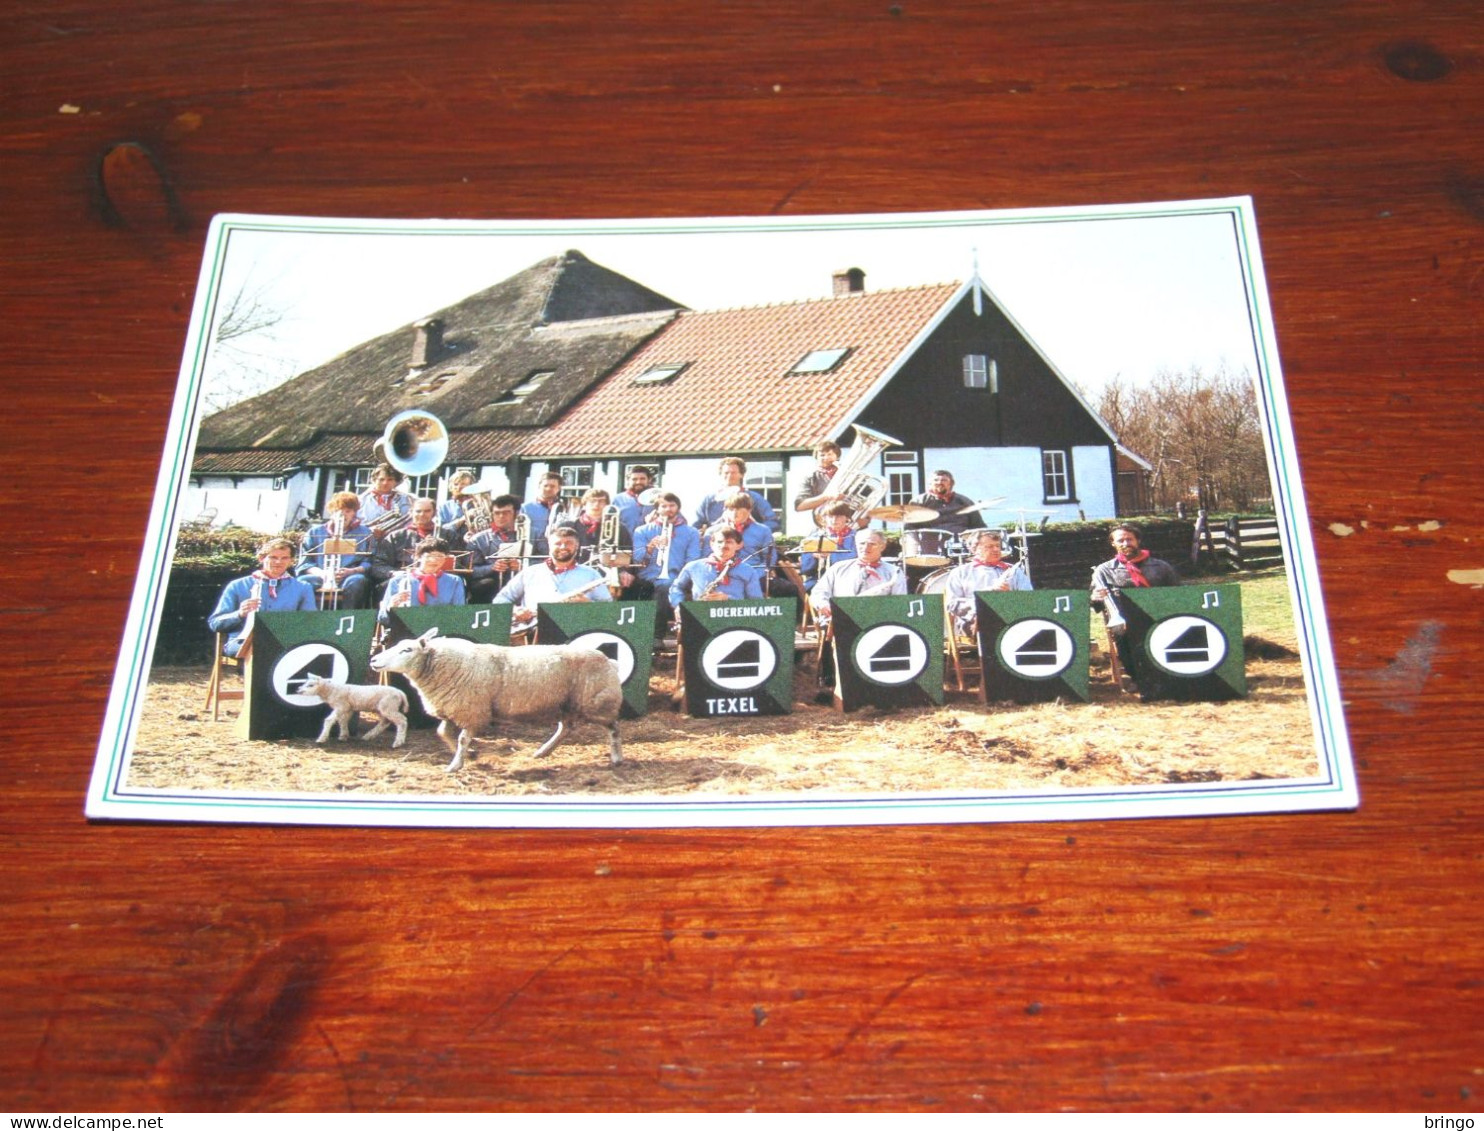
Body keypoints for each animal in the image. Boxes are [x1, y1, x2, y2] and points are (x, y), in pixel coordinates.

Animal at [373, 626, 629, 777]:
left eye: (406, 649)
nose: (374, 660)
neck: (442, 666)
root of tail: (609, 660)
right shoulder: (454, 710)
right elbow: (443, 733)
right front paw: (471, 754)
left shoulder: (473, 711)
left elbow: (462, 738)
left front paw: (456, 764)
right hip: (566, 704)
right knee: (566, 728)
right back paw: (542, 752)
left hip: (597, 702)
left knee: (614, 728)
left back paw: (617, 758)